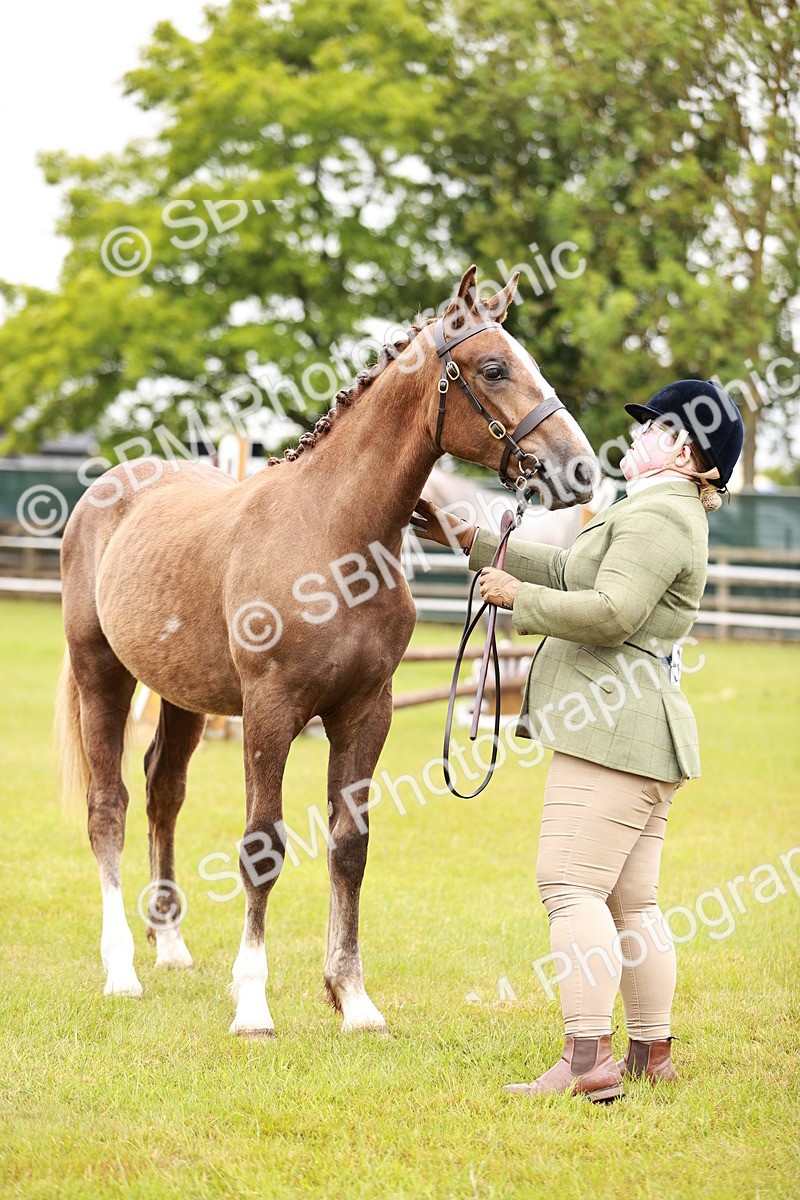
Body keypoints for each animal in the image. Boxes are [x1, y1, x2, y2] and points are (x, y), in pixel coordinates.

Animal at [55, 265, 595, 1035]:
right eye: (494, 367)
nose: (579, 469)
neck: (333, 536)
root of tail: (106, 490)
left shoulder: (366, 710)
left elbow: (350, 847)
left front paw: (353, 998)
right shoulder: (271, 711)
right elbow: (262, 846)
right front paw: (253, 1004)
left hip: (182, 695)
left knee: (164, 790)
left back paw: (170, 943)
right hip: (101, 674)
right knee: (110, 805)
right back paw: (123, 968)